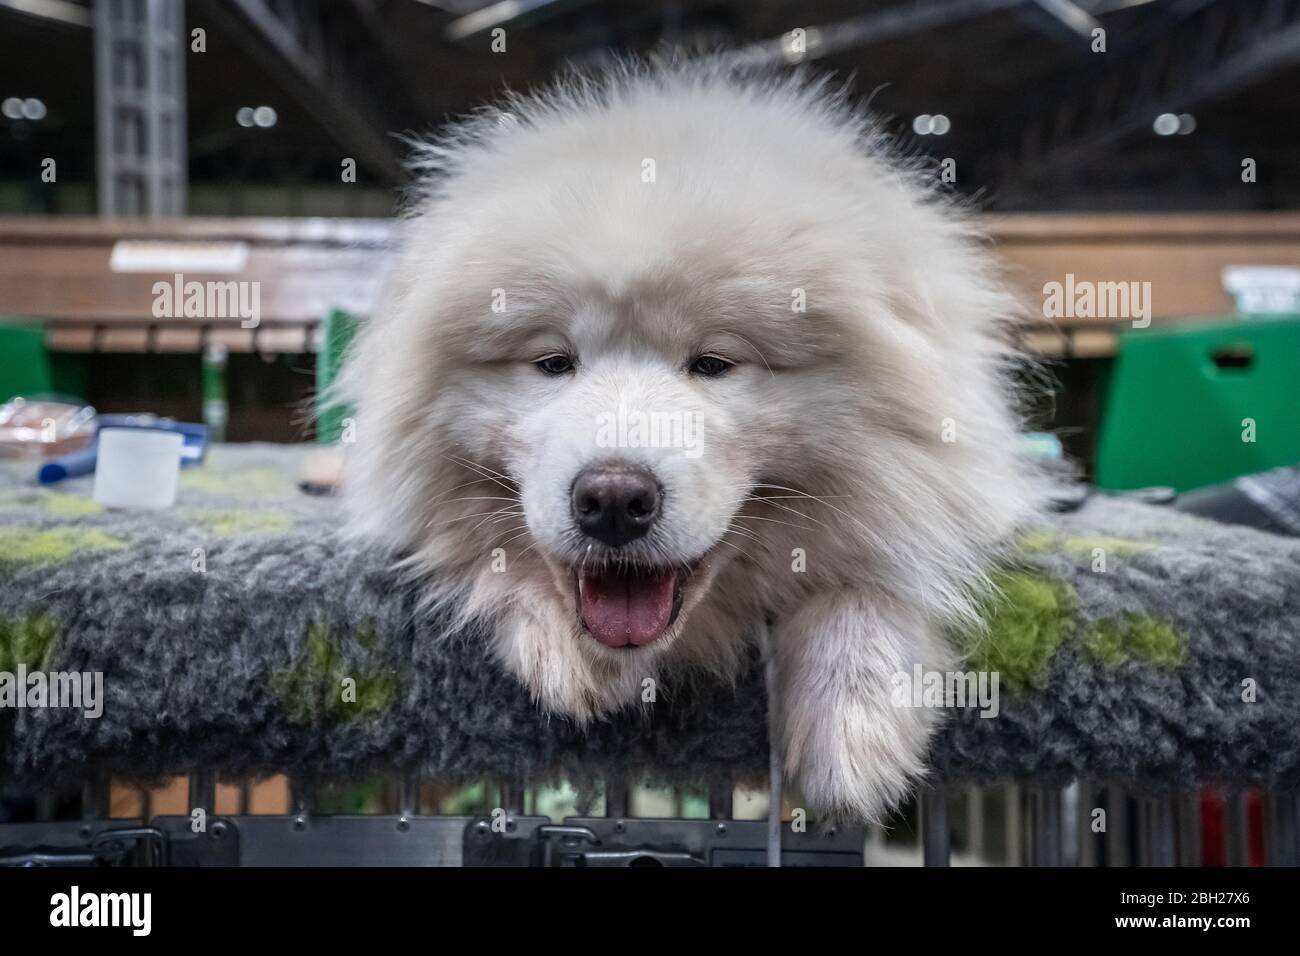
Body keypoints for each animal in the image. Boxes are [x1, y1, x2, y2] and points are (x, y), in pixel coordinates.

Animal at [343, 63, 1034, 822]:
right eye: (553, 363)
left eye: (714, 363)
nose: (614, 500)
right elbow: (491, 558)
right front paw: (566, 652)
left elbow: (875, 578)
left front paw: (851, 731)